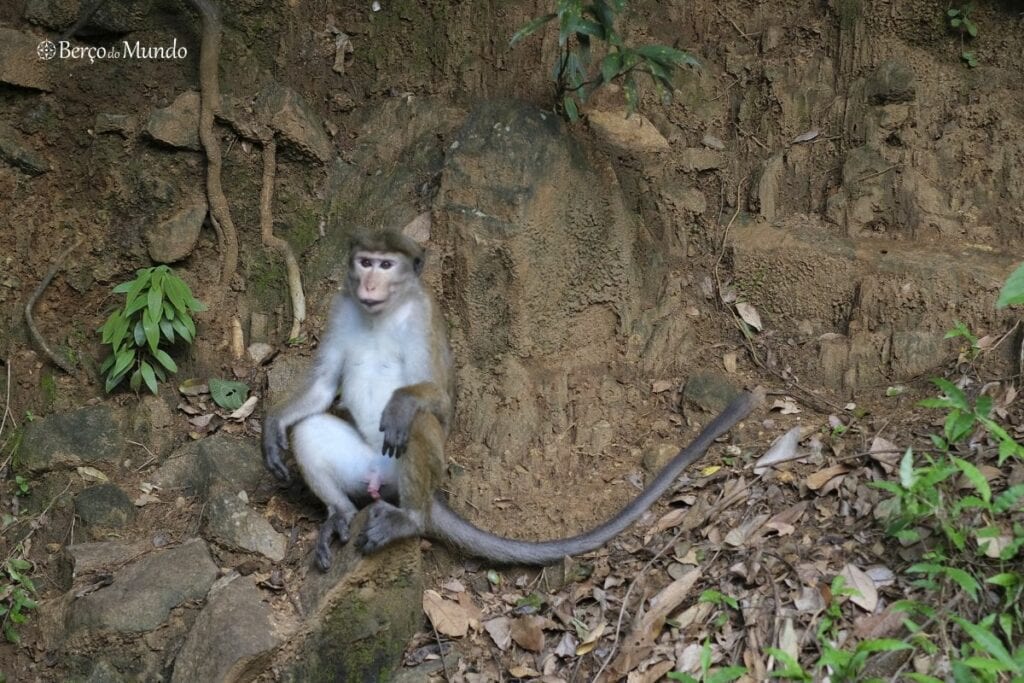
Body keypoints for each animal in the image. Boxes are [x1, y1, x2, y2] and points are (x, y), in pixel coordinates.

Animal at [264, 227, 761, 569]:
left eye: (386, 267)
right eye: (365, 262)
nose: (369, 284)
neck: (379, 315)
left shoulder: (423, 316)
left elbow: (439, 400)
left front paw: (405, 403)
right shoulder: (341, 307)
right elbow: (323, 387)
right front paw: (271, 427)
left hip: (401, 475)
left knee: (418, 423)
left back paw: (410, 519)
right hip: (369, 468)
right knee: (311, 429)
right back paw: (340, 512)